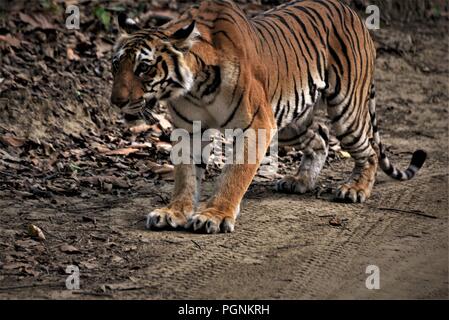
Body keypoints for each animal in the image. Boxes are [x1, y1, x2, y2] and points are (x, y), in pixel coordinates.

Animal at [110, 0, 426, 235]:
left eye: (144, 68)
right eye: (116, 65)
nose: (116, 101)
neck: (194, 88)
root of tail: (352, 12)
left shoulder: (257, 125)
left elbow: (235, 173)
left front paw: (215, 215)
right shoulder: (189, 130)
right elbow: (185, 175)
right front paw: (174, 212)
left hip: (345, 109)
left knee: (369, 149)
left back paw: (355, 189)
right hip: (288, 121)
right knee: (321, 137)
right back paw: (300, 181)